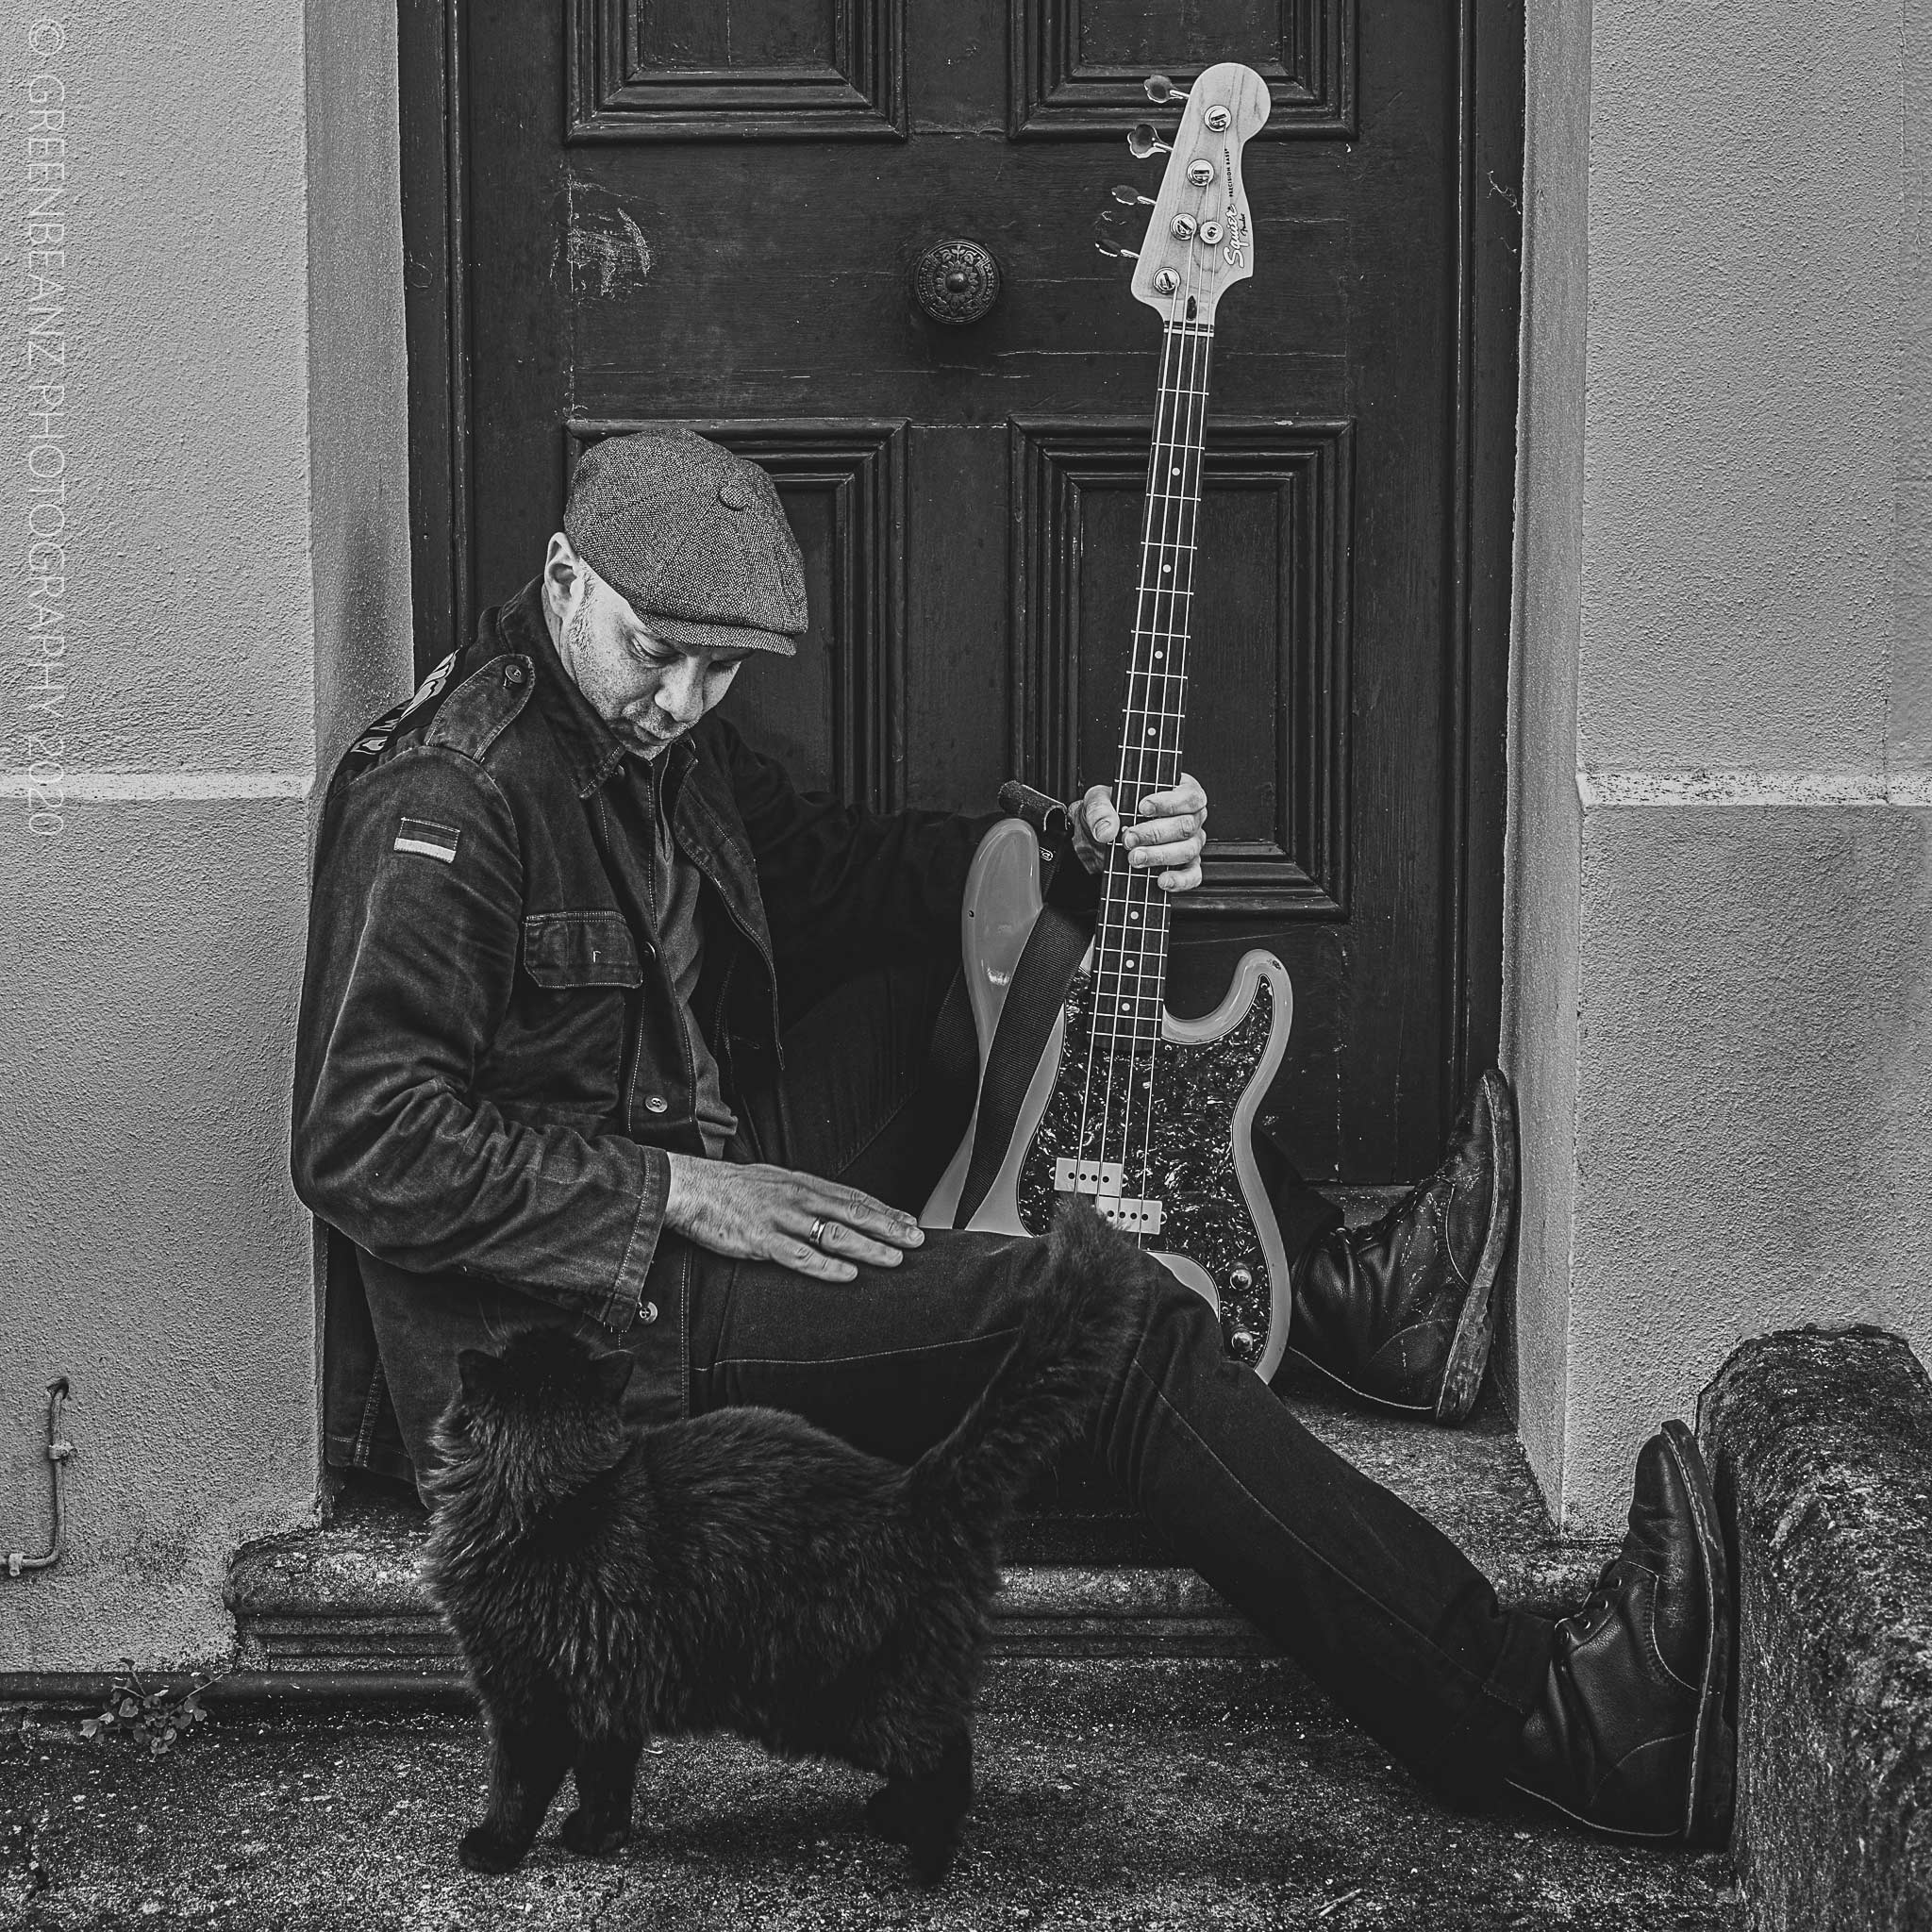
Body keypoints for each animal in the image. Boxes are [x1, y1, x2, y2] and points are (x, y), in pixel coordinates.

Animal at [423, 1197, 1136, 1877]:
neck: (554, 1490)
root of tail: (914, 1489)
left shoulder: (524, 1689)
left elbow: (518, 1784)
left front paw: (493, 1849)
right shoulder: (609, 1690)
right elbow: (607, 1775)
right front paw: (600, 1838)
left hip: (833, 1697)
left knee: (945, 1753)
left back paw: (925, 1857)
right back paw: (894, 1816)